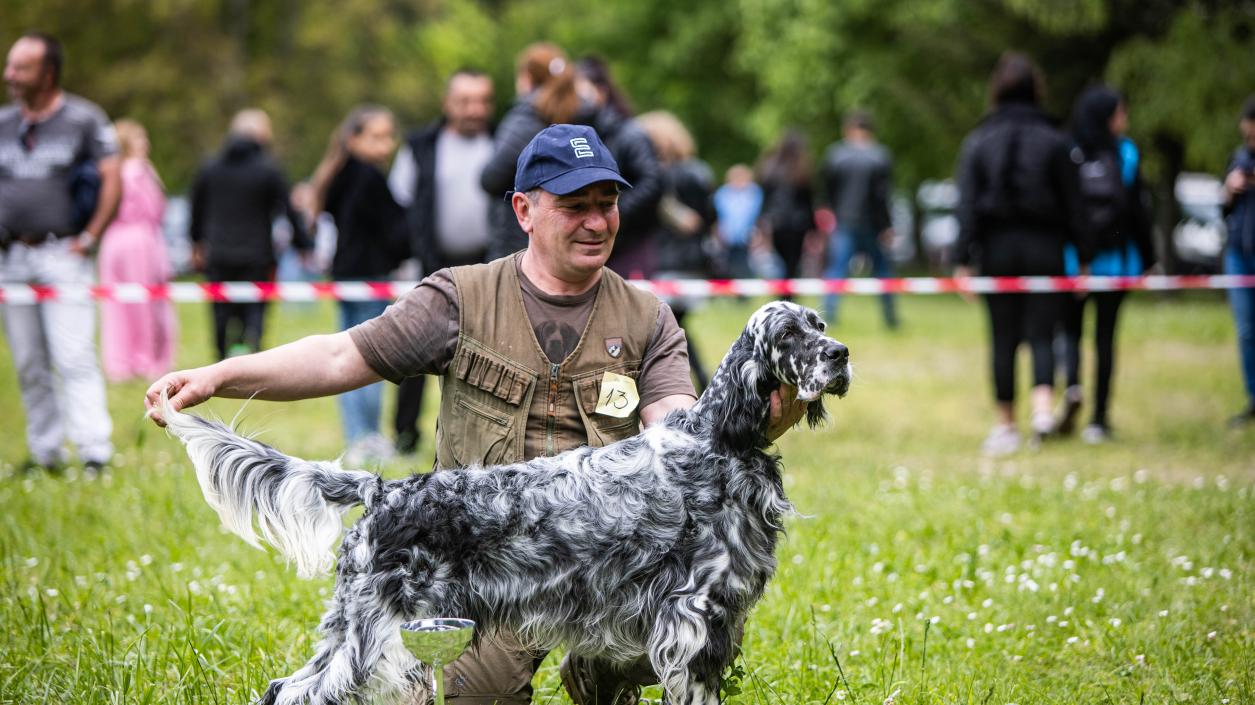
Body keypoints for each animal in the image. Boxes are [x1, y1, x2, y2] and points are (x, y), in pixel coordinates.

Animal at [161, 298, 848, 697]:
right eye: (791, 334)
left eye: (821, 325)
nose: (840, 354)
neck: (721, 439)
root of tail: (384, 490)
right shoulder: (694, 617)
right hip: (379, 639)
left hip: (358, 628)